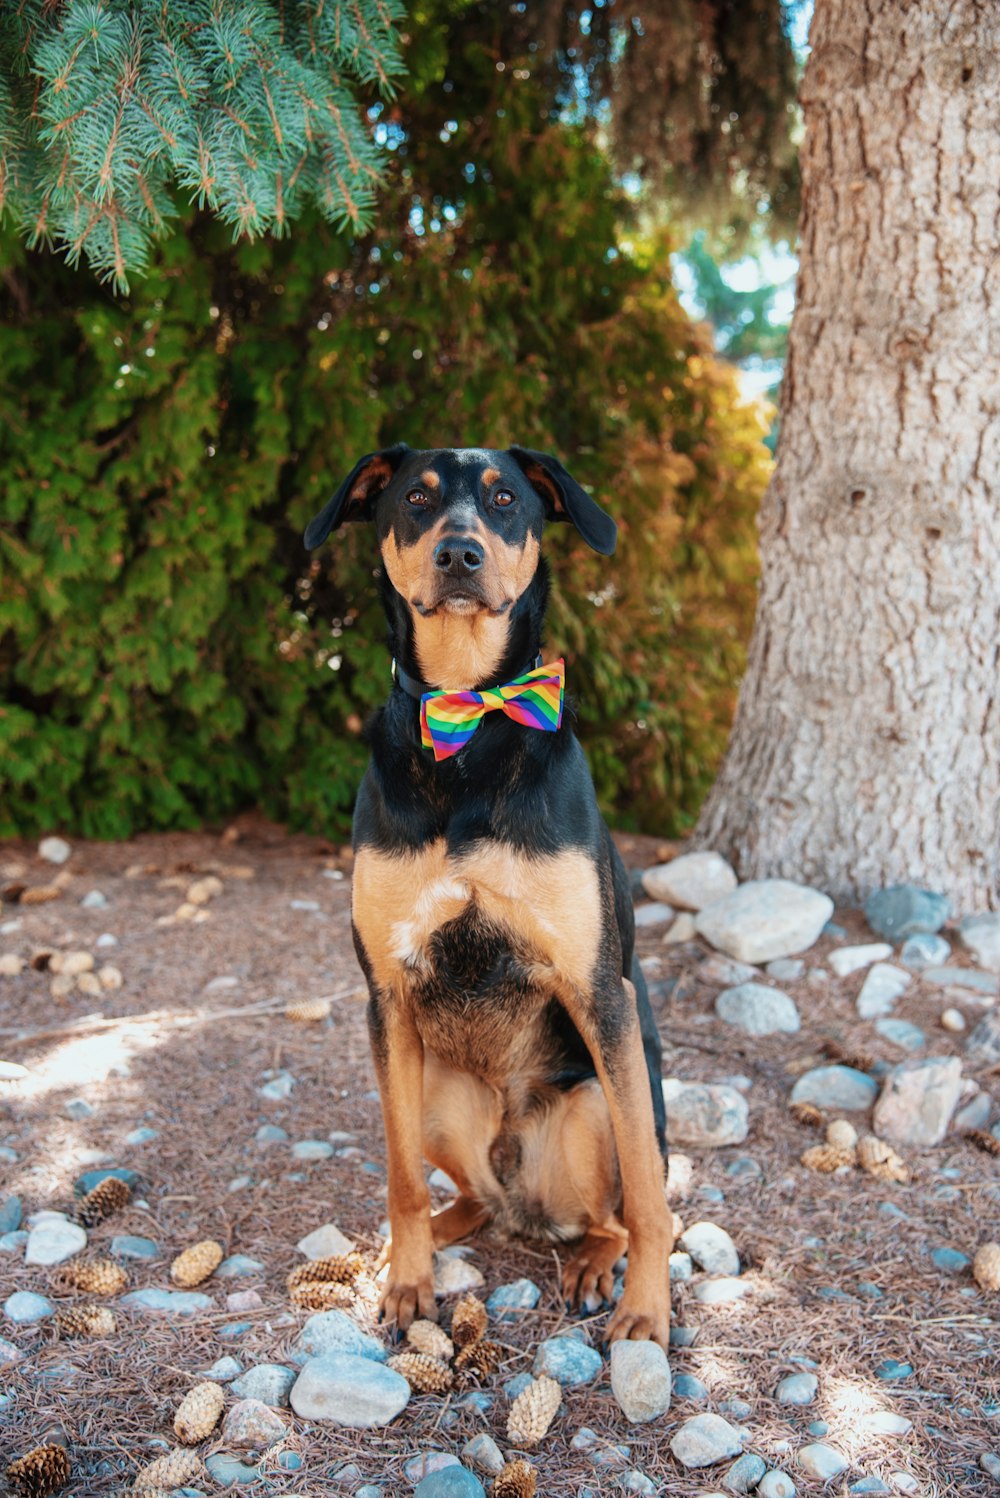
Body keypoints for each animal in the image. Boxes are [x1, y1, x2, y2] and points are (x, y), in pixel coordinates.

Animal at [302, 443, 670, 1348]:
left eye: (505, 501)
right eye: (415, 499)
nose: (459, 554)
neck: (469, 717)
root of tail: (520, 1200)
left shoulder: (597, 989)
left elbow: (652, 1197)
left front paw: (648, 1311)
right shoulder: (387, 998)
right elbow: (399, 1176)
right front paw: (408, 1283)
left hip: (594, 1102)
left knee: (616, 1213)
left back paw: (594, 1265)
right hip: (432, 1091)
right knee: (462, 1194)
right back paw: (422, 1241)